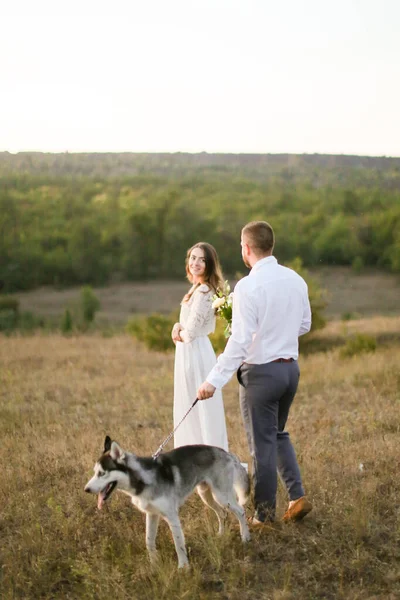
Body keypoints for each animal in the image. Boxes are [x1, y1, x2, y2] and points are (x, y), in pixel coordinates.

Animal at [85, 436, 250, 568]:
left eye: (102, 473)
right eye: (94, 472)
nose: (86, 489)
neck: (143, 479)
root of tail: (226, 453)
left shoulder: (172, 517)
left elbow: (179, 544)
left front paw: (183, 567)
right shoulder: (152, 514)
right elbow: (149, 540)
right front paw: (154, 564)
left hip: (222, 496)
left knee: (240, 511)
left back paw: (245, 537)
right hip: (206, 495)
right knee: (222, 513)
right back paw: (221, 534)